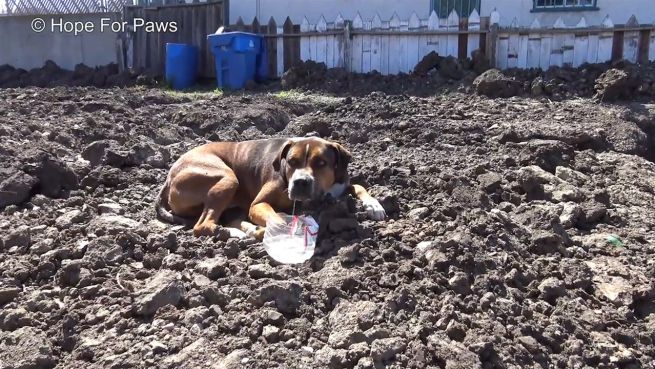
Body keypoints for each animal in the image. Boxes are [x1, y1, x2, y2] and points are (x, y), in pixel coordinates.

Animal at [156, 137, 386, 239]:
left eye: (321, 163)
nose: (300, 182)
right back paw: (239, 233)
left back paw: (247, 230)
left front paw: (374, 206)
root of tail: (168, 178)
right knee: (202, 225)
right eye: (292, 161)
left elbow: (359, 186)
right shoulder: (258, 204)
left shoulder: (340, 185)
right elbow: (277, 218)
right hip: (227, 178)